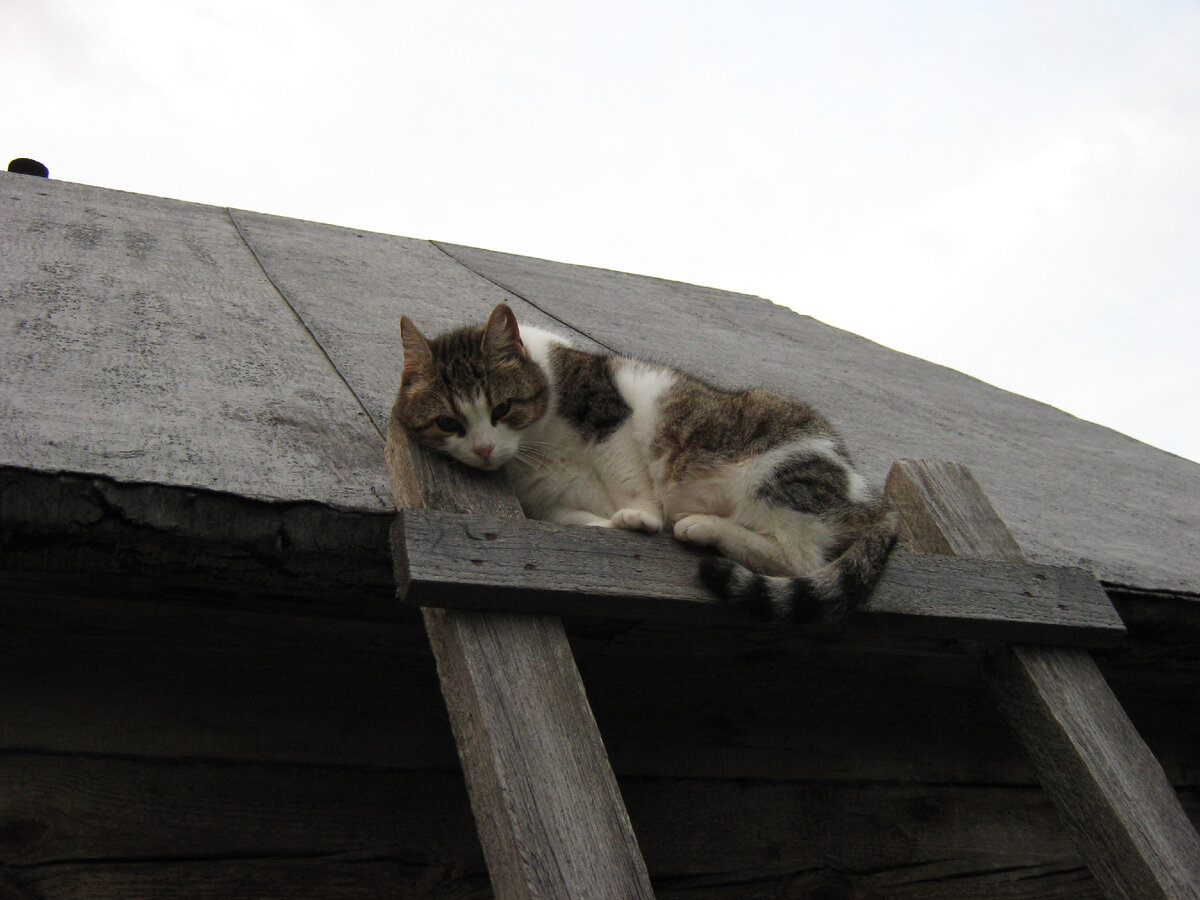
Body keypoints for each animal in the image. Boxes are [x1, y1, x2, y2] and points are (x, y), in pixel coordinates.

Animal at [388, 303, 897, 628]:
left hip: (779, 472)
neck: (535, 446)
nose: (483, 449)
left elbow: (626, 472)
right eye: (448, 422)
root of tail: (876, 503)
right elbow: (571, 517)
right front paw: (610, 524)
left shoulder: (607, 416)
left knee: (798, 557)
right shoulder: (544, 499)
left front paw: (643, 516)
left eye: (502, 408)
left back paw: (698, 525)